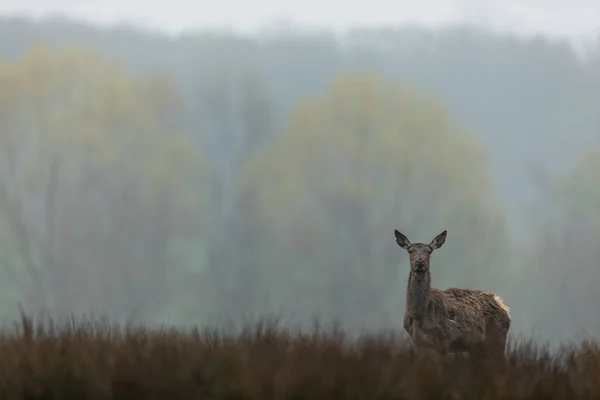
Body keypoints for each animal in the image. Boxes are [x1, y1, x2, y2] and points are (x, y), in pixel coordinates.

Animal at [394, 228, 510, 360]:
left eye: (429, 251)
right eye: (410, 250)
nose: (420, 262)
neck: (419, 316)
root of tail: (503, 307)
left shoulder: (445, 339)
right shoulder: (418, 342)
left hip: (497, 338)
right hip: (478, 347)